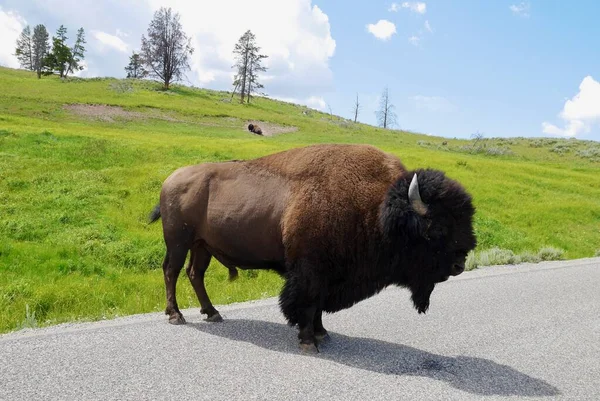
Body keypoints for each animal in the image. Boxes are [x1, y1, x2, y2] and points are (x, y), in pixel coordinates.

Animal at [149, 144, 478, 350]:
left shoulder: (329, 273)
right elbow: (306, 303)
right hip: (178, 241)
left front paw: (323, 334)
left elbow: (318, 305)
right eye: (437, 229)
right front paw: (309, 341)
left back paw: (212, 312)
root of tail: (170, 179)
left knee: (195, 273)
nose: (460, 265)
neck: (377, 207)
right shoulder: (309, 271)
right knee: (171, 271)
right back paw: (176, 316)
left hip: (202, 245)